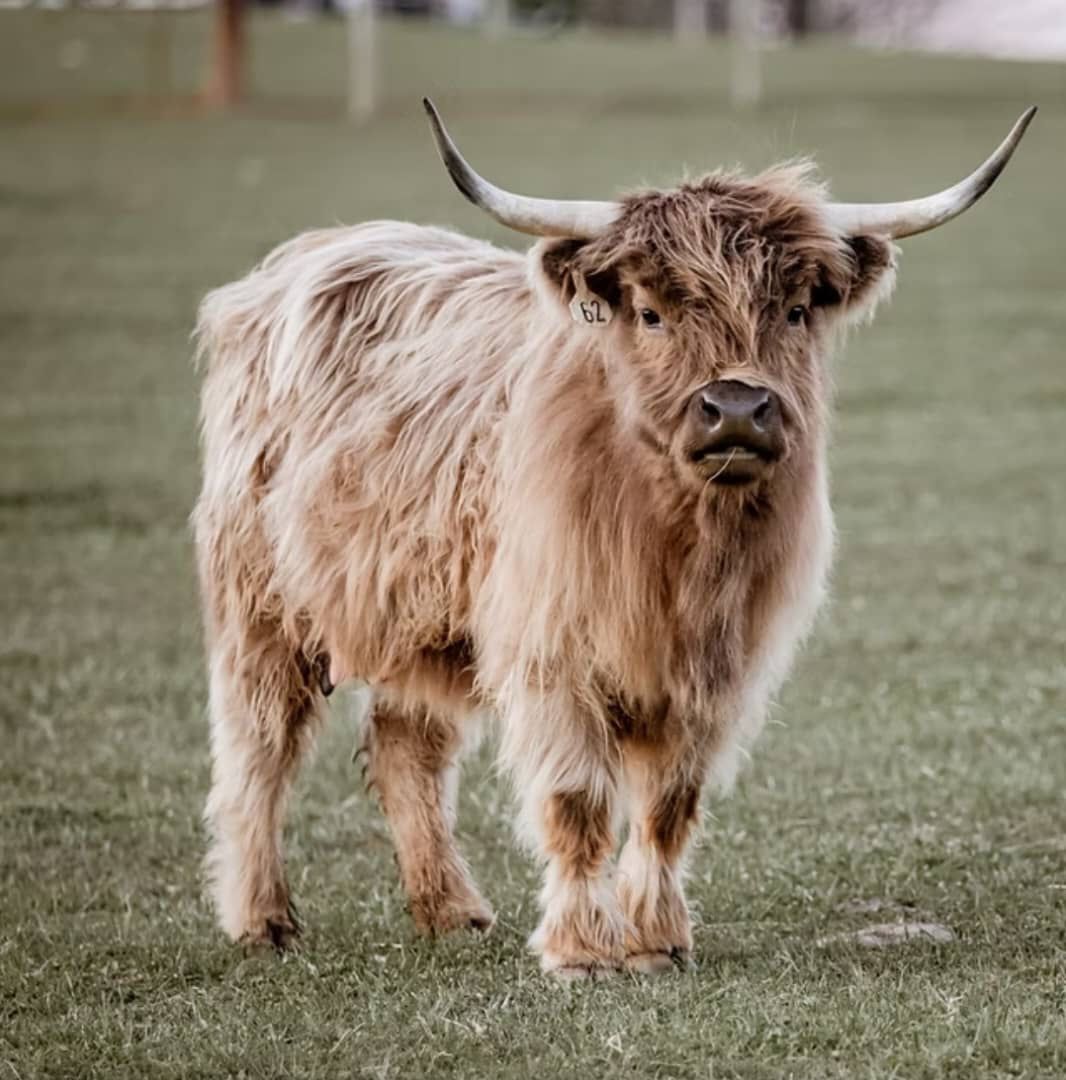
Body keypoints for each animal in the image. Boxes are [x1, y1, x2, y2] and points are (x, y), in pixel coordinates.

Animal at [193, 101, 1034, 978]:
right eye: (651, 311)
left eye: (798, 309)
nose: (737, 409)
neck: (683, 550)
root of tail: (309, 253)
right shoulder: (554, 652)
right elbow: (578, 800)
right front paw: (582, 951)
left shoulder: (712, 672)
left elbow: (669, 805)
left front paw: (657, 939)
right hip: (258, 599)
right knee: (258, 746)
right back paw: (262, 918)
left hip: (416, 609)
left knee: (404, 745)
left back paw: (451, 910)